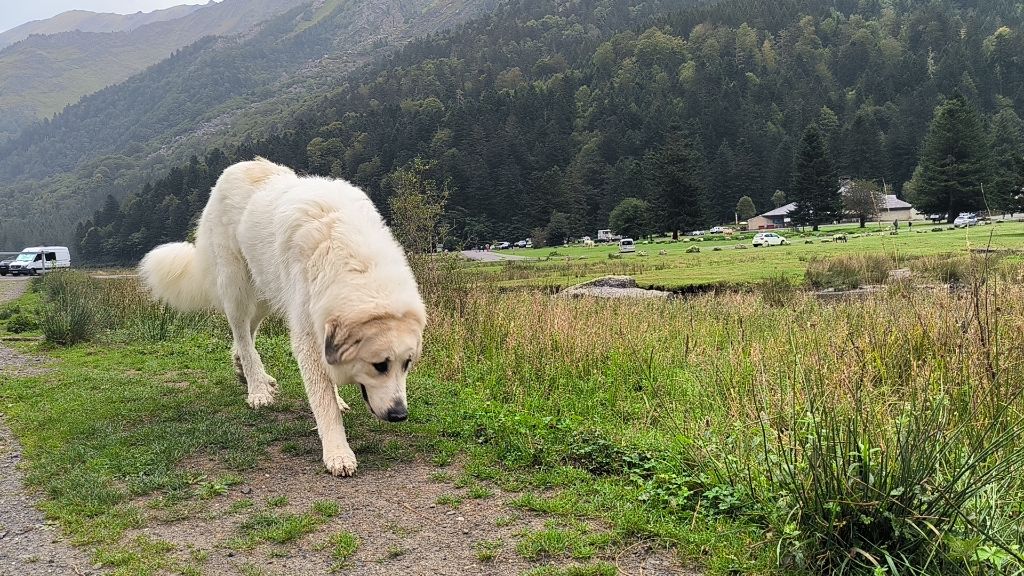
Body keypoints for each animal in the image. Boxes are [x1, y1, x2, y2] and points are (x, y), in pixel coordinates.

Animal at [138, 156, 425, 475]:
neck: (355, 264)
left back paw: (246, 371)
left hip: (266, 290)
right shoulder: (308, 333)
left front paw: (337, 401)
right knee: (241, 333)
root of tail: (239, 166)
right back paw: (257, 390)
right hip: (237, 287)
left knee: (248, 334)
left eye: (407, 364)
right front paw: (338, 452)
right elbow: (322, 396)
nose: (400, 415)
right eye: (379, 365)